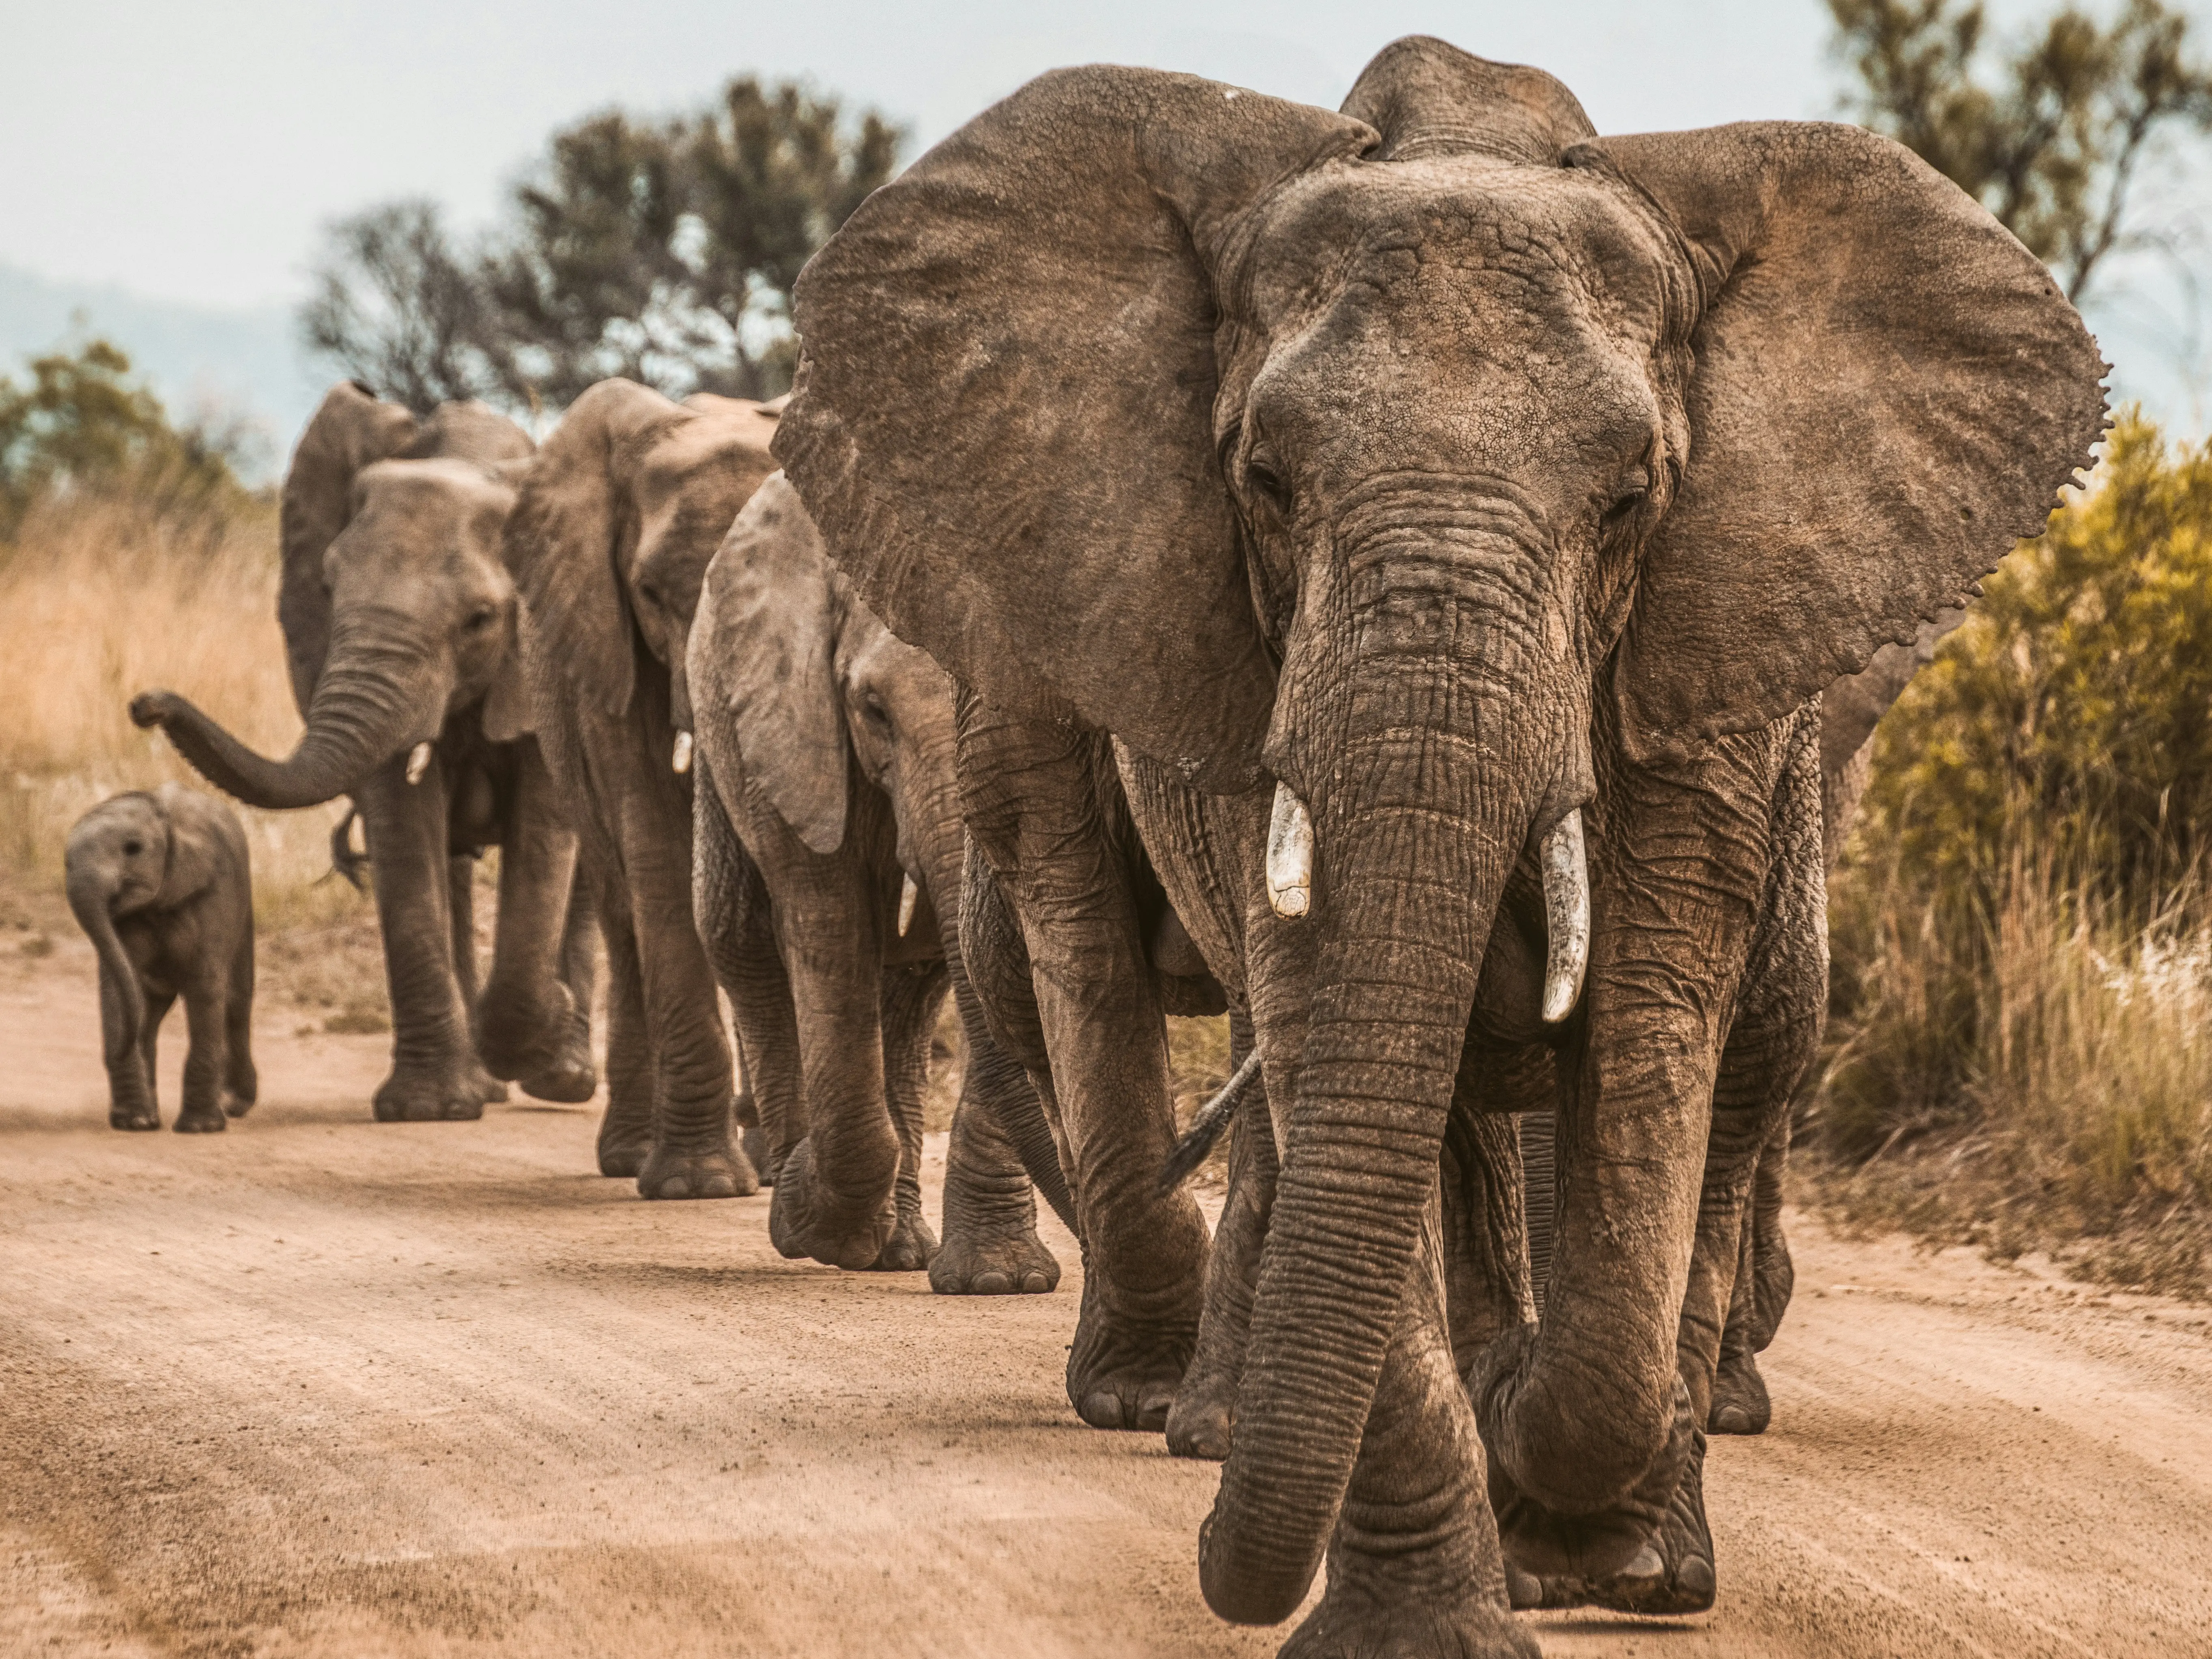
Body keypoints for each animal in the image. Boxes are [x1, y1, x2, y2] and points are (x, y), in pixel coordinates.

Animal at [66, 784, 257, 1133]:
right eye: (65, 862)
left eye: (133, 849)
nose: (119, 1048)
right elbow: (119, 983)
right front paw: (135, 1123)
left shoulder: (215, 892)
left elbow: (205, 983)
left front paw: (199, 1129)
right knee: (151, 1012)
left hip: (244, 907)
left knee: (237, 1001)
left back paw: (234, 1105)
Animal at [132, 383, 598, 1123]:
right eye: (326, 591)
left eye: (481, 620)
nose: (145, 704)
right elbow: (402, 827)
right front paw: (429, 1108)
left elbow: (546, 829)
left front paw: (543, 1025)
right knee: (452, 864)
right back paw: (487, 1082)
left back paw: (565, 1077)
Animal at [500, 379, 787, 1199]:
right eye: (653, 593)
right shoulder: (607, 641)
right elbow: (657, 842)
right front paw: (699, 1185)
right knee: (623, 907)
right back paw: (634, 1156)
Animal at [686, 470, 1077, 1283]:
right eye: (872, 710)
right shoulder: (796, 724)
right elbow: (827, 927)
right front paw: (810, 1219)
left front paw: (1001, 1282)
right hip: (721, 731)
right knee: (742, 939)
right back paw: (807, 1206)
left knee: (912, 990)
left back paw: (895, 1249)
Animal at [770, 37, 2103, 1657]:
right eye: (1263, 484)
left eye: (1631, 500)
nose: (1209, 1551)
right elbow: (1330, 1028)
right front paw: (1438, 1610)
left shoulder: (1708, 657)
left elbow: (1652, 1042)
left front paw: (1587, 1521)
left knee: (1730, 1076)